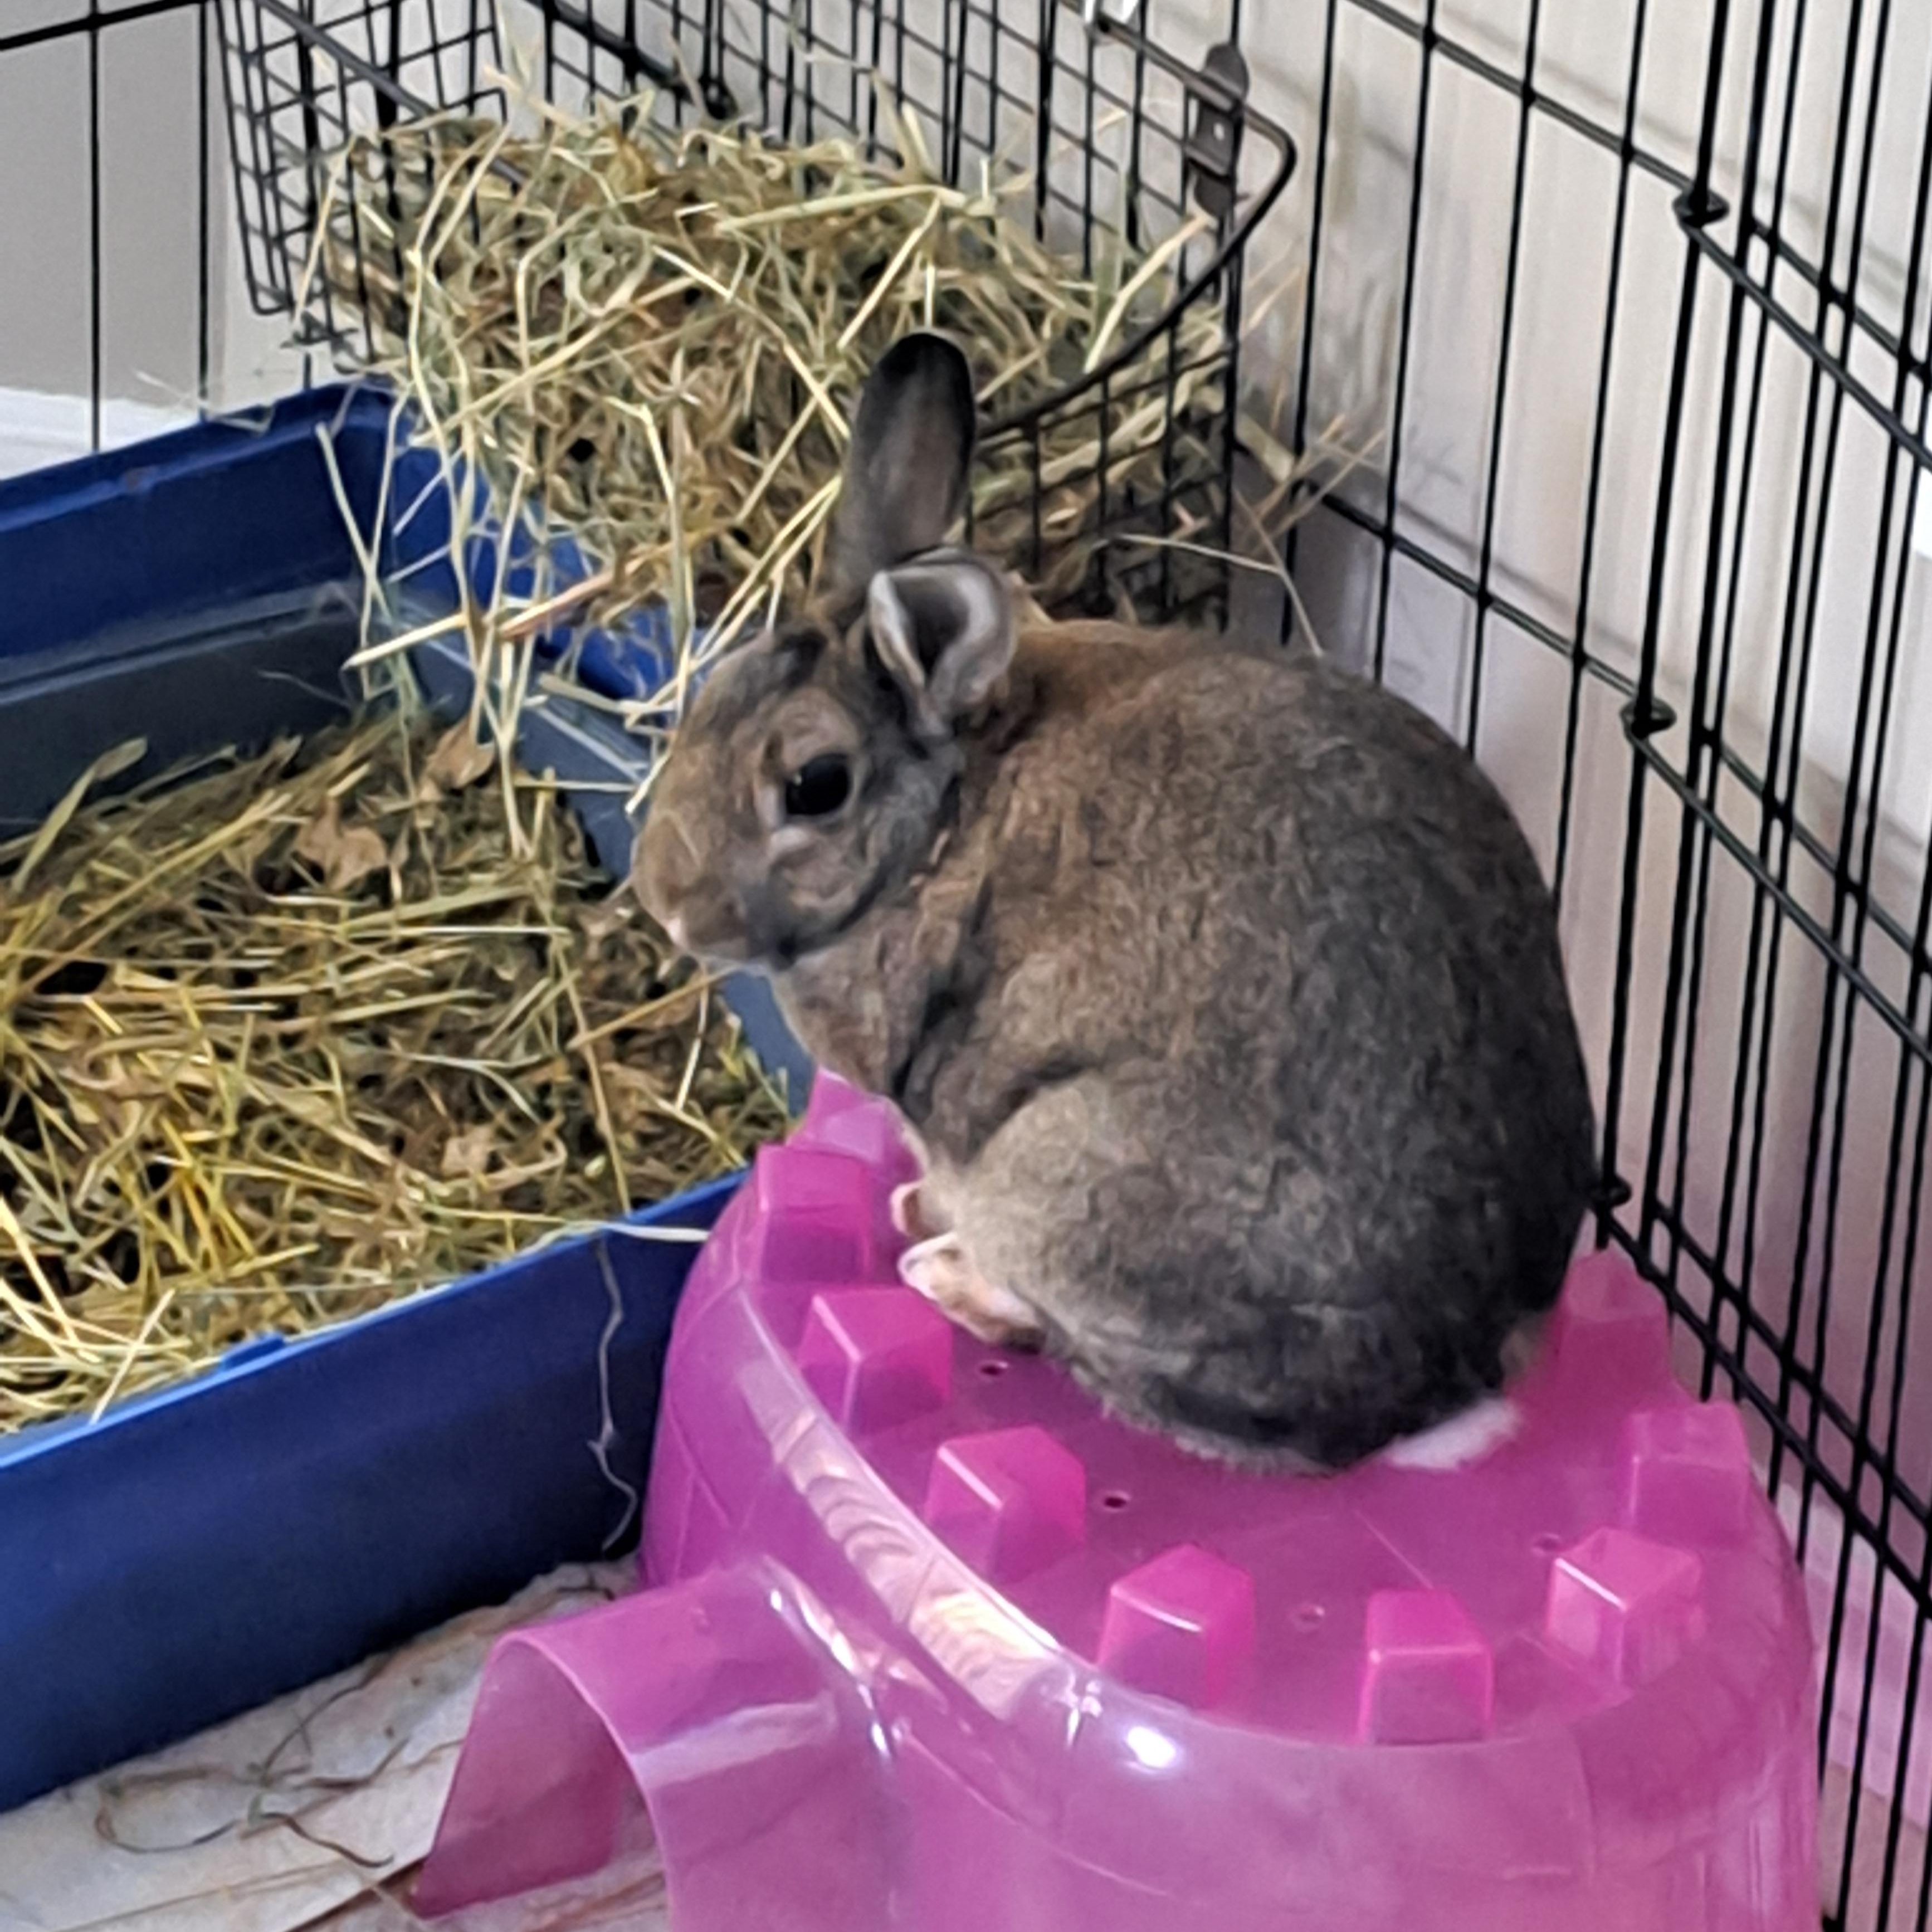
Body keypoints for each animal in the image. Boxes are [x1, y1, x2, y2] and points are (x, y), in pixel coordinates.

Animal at [635, 331, 1597, 1472]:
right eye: (711, 696)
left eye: (815, 786)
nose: (664, 900)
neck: (949, 812)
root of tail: (1446, 1393)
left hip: (1058, 1174)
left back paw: (941, 1266)